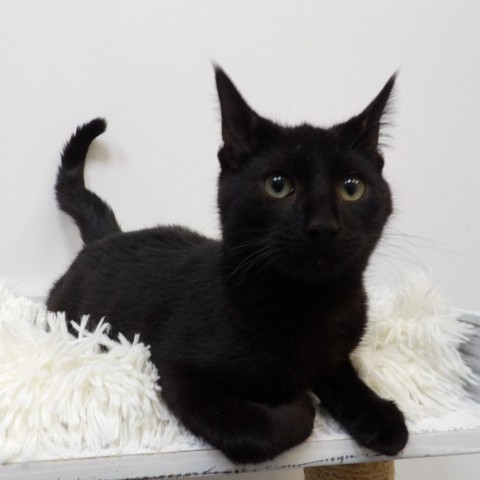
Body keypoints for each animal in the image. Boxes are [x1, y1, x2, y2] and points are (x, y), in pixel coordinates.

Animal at [47, 68, 408, 464]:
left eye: (352, 187)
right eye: (278, 185)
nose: (323, 226)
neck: (307, 303)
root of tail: (107, 235)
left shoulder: (336, 350)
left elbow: (342, 374)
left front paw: (379, 415)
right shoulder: (176, 370)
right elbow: (254, 429)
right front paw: (301, 405)